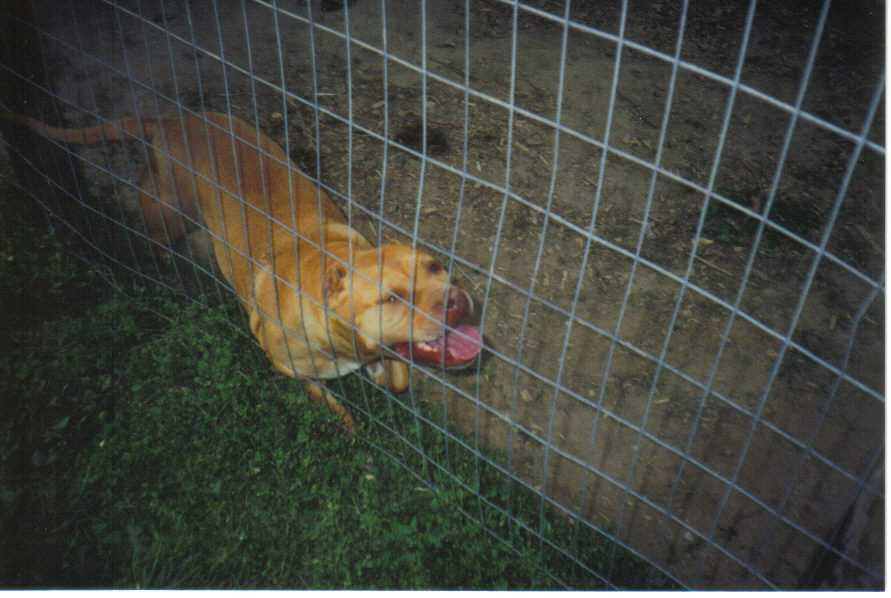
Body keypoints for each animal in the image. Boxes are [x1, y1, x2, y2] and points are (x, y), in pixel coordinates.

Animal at [3, 111, 482, 431]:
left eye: (436, 266)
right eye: (392, 298)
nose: (457, 300)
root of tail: (175, 117)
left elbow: (397, 377)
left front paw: (386, 376)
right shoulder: (287, 366)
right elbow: (330, 404)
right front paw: (349, 429)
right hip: (169, 211)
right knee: (154, 230)